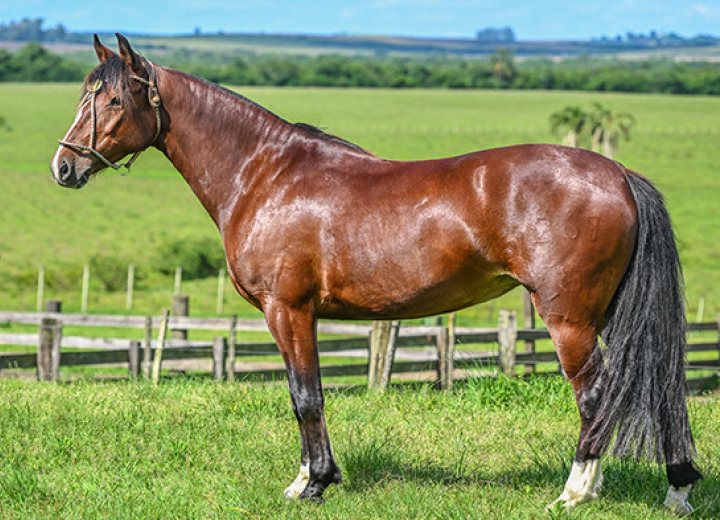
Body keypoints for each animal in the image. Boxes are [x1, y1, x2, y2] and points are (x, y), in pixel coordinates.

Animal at [52, 34, 704, 512]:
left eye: (114, 101)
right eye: (86, 98)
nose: (63, 167)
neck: (265, 175)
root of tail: (618, 173)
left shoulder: (288, 311)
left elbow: (306, 396)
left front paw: (311, 483)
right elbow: (306, 394)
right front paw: (315, 477)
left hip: (570, 318)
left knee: (595, 396)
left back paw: (575, 492)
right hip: (607, 314)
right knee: (656, 385)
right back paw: (677, 488)